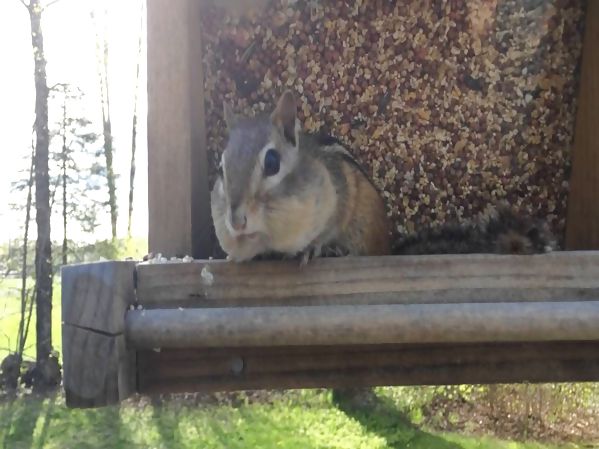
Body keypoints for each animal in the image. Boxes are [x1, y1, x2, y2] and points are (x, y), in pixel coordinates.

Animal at [210, 90, 392, 264]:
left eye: (272, 163)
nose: (237, 223)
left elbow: (327, 231)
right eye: (220, 169)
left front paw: (311, 248)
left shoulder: (340, 199)